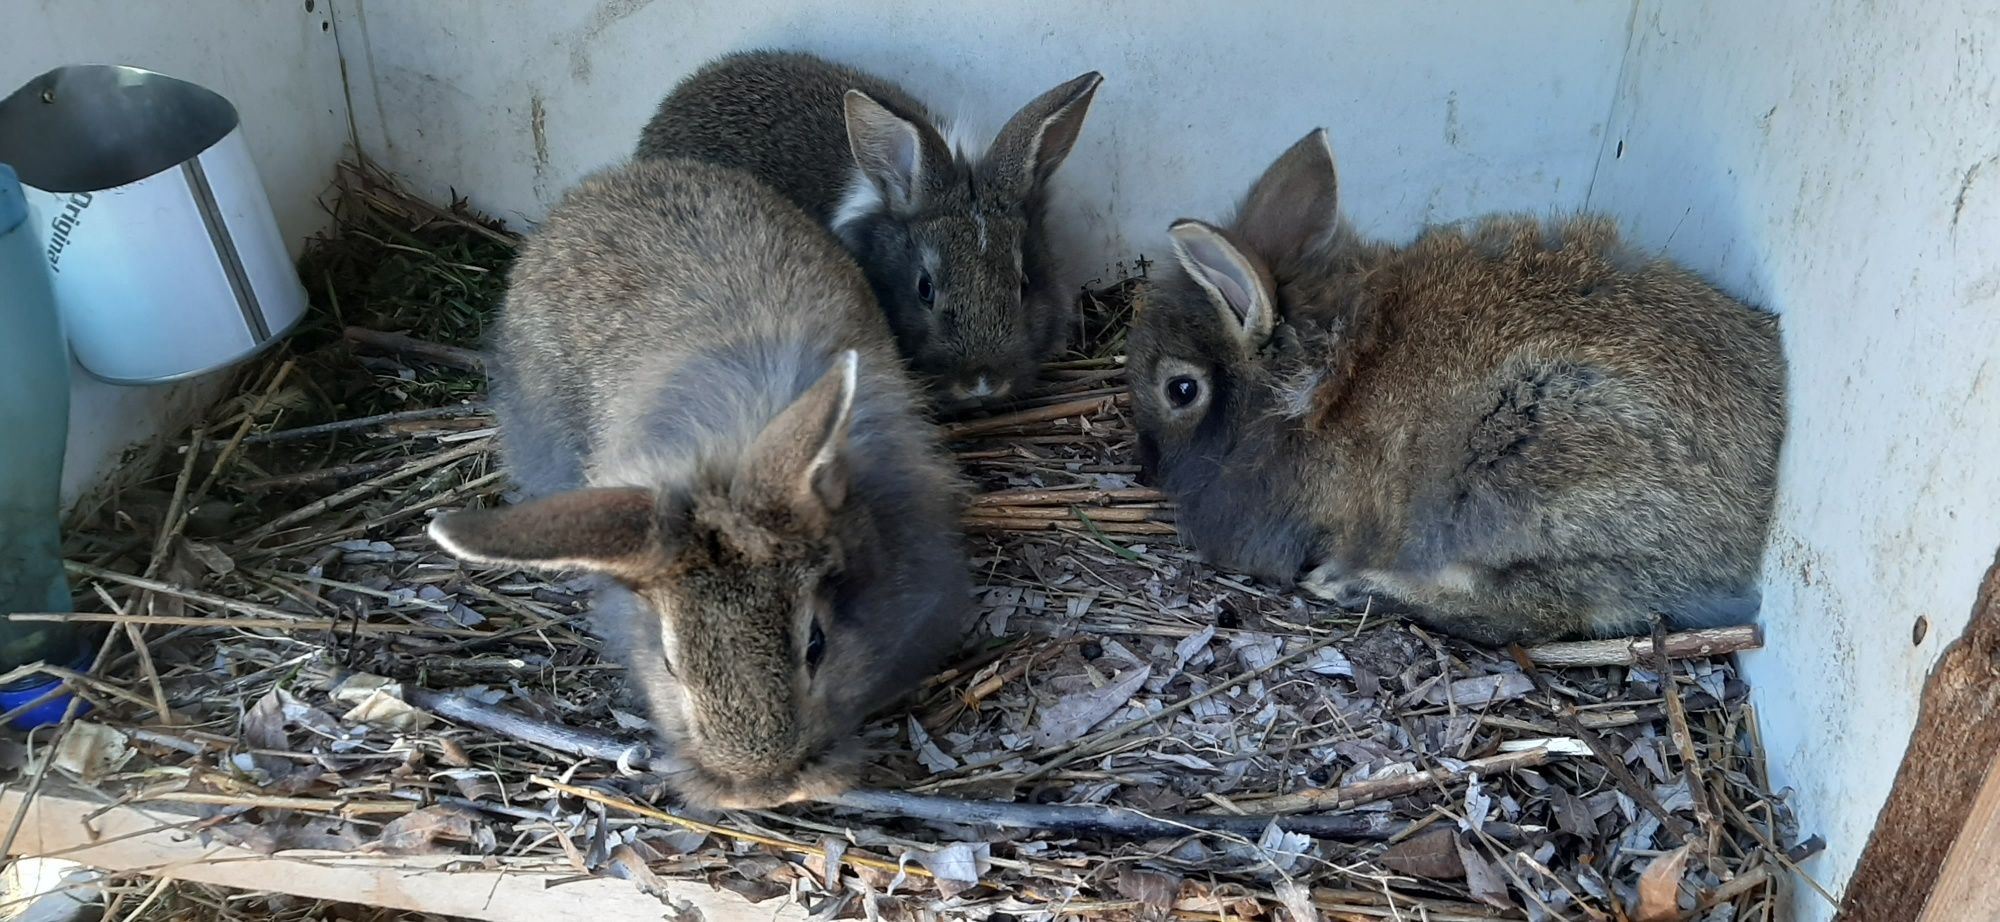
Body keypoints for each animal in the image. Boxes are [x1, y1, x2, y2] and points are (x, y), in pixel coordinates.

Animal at [1136, 129, 1792, 648]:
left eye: (1181, 390)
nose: (1143, 465)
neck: (1312, 381)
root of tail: (1749, 532)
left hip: (1526, 456)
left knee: (1540, 611)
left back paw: (1353, 583)